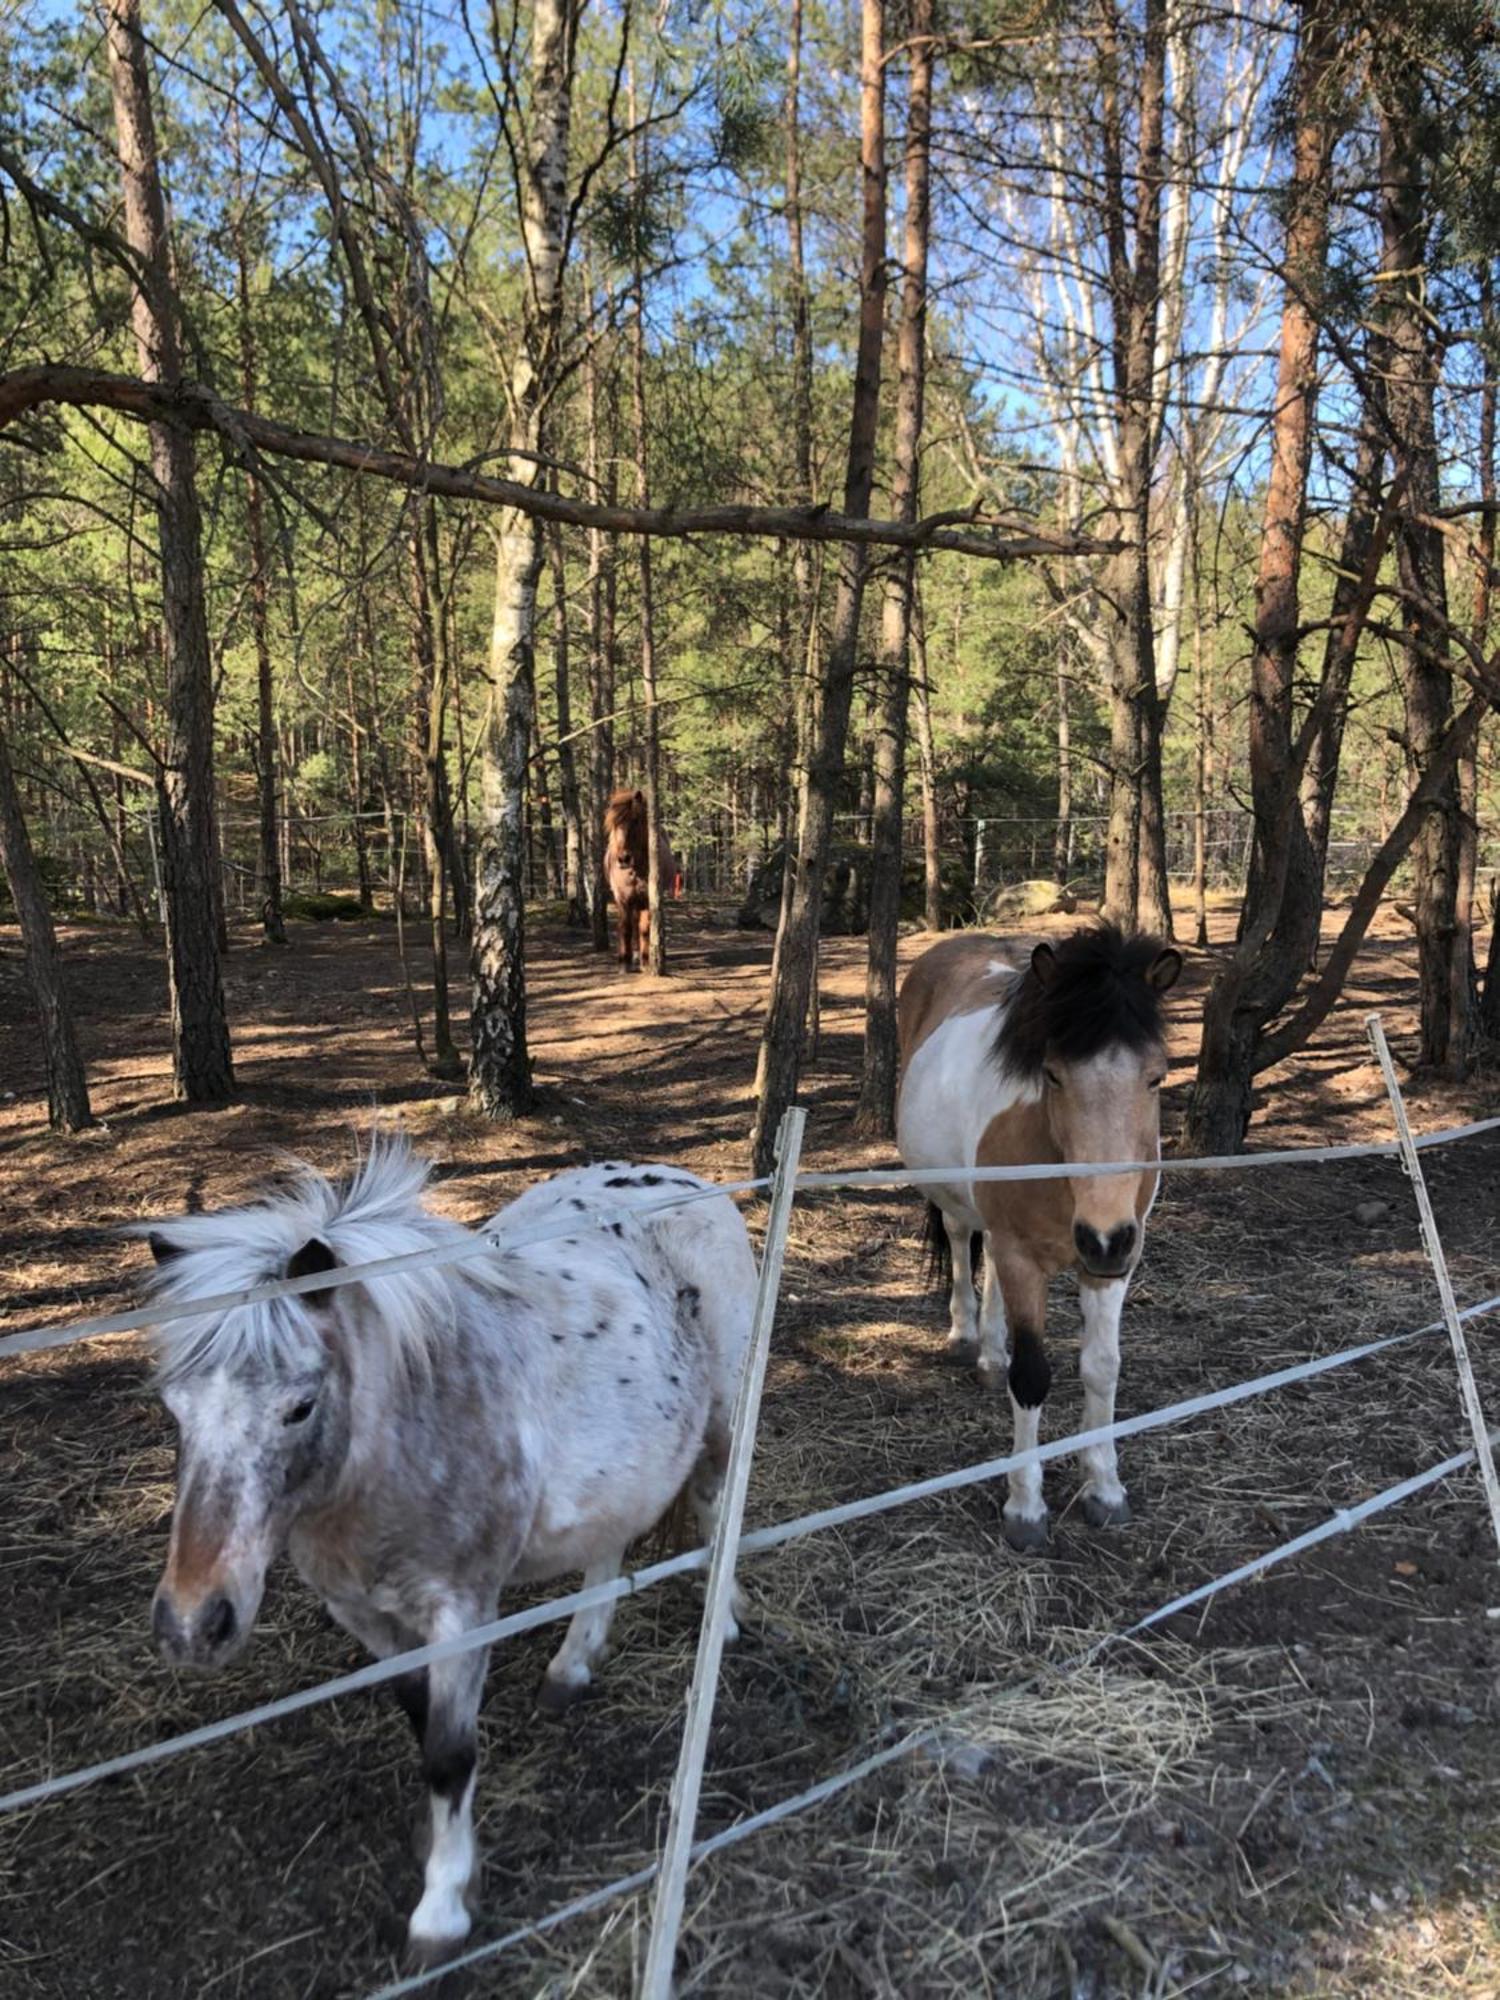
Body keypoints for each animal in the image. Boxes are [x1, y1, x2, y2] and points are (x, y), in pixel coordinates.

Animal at [141, 1136, 752, 1960]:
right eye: (174, 1408)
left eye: (300, 1406)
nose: (192, 1623)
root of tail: (689, 1181)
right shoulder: (366, 1615)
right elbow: (418, 1721)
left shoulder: (462, 1609)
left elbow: (449, 1752)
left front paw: (442, 1909)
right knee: (606, 1549)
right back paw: (571, 1668)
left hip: (723, 1419)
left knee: (719, 1507)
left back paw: (724, 1618)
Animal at [608, 780, 684, 968]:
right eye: (614, 823)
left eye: (635, 821)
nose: (624, 859)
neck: (634, 871)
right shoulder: (623, 899)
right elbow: (626, 928)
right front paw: (624, 963)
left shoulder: (647, 899)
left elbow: (645, 928)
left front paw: (646, 961)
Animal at [900, 928, 1184, 1552]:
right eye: (1053, 1074)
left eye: (1156, 1076)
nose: (1104, 1237)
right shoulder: (1023, 1256)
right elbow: (1031, 1377)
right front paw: (1025, 1508)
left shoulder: (1110, 1268)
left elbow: (1101, 1368)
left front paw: (1105, 1490)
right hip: (957, 1201)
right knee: (962, 1236)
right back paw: (966, 1335)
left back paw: (990, 1354)